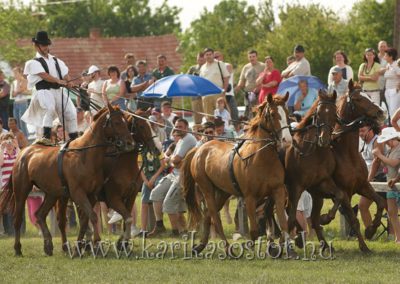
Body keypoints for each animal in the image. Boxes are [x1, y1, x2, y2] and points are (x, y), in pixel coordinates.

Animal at [0, 103, 134, 255]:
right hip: (21, 192)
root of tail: (23, 152)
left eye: (126, 123)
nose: (130, 143)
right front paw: (95, 245)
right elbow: (93, 216)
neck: (85, 154)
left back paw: (49, 245)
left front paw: (81, 246)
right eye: (117, 122)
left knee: (40, 214)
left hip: (52, 194)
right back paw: (18, 248)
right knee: (17, 219)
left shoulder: (91, 195)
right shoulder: (78, 193)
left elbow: (85, 219)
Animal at [57, 108, 157, 251]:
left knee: (84, 217)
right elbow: (127, 217)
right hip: (65, 197)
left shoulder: (131, 196)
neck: (124, 164)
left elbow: (128, 218)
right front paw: (123, 242)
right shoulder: (113, 199)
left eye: (151, 125)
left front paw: (123, 243)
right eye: (141, 125)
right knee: (64, 219)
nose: (155, 148)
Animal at [182, 93, 290, 253]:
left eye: (287, 113)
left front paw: (279, 248)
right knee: (214, 217)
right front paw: (248, 245)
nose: (286, 140)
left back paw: (200, 246)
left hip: (222, 192)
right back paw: (227, 248)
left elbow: (283, 222)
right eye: (272, 114)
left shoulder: (277, 191)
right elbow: (254, 230)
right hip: (207, 189)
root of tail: (200, 149)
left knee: (207, 215)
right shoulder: (250, 198)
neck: (261, 157)